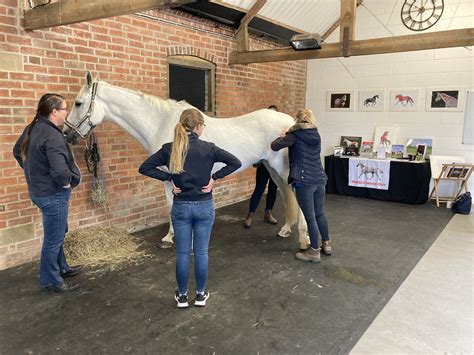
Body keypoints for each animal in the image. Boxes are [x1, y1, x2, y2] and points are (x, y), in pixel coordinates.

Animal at [64, 71, 312, 250]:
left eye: (78, 103)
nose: (67, 134)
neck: (162, 123)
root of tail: (290, 122)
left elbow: (173, 206)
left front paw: (173, 238)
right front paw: (172, 236)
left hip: (282, 167)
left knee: (297, 195)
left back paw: (305, 239)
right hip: (272, 169)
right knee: (286, 195)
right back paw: (286, 230)